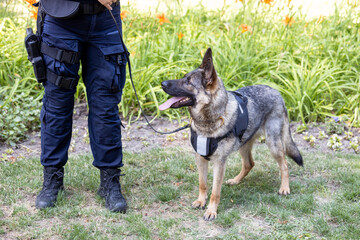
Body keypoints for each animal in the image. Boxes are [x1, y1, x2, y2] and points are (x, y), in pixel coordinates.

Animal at [159, 47, 302, 220]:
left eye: (188, 82)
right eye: (183, 78)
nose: (162, 83)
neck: (209, 121)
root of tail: (276, 92)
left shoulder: (219, 162)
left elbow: (215, 191)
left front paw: (211, 210)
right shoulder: (200, 158)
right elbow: (202, 183)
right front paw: (201, 201)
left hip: (273, 144)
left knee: (284, 164)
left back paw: (284, 187)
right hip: (244, 145)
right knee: (249, 164)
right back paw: (236, 180)